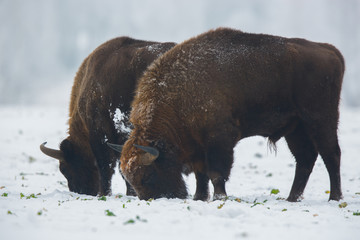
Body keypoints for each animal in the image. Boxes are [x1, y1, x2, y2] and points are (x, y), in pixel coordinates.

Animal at [107, 27, 346, 202]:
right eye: (129, 177)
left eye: (147, 174)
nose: (153, 198)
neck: (179, 92)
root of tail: (330, 50)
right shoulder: (197, 144)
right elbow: (201, 174)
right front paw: (199, 197)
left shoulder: (219, 139)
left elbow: (216, 173)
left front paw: (219, 197)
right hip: (296, 128)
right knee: (305, 159)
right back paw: (292, 198)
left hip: (320, 119)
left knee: (331, 154)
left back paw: (334, 197)